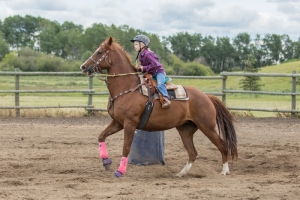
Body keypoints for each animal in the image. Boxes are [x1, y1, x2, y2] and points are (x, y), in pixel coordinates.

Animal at [79, 36, 237, 177]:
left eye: (99, 52)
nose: (83, 67)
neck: (128, 88)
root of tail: (206, 97)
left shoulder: (130, 123)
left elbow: (126, 148)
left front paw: (120, 171)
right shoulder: (118, 122)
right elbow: (101, 136)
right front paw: (106, 162)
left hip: (207, 127)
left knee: (222, 146)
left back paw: (224, 171)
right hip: (185, 129)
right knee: (193, 152)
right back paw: (181, 173)